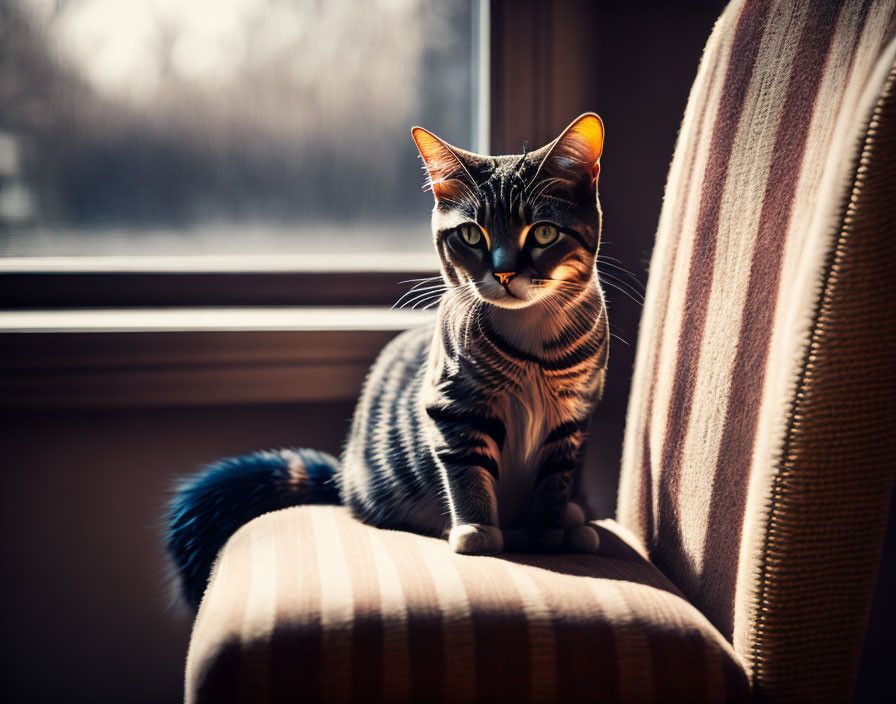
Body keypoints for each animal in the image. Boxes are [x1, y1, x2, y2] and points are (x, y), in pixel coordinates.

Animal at [166, 114, 608, 604]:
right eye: (472, 234)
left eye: (544, 232)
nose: (504, 273)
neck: (531, 344)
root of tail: (343, 479)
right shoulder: (453, 404)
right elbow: (467, 470)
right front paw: (477, 529)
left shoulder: (572, 416)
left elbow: (555, 477)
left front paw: (549, 530)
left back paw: (575, 522)